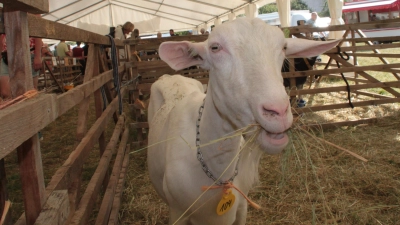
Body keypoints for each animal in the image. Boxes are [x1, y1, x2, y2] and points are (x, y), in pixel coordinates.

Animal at [147, 18, 340, 225]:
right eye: (215, 48)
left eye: (284, 47)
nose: (278, 112)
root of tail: (172, 76)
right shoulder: (178, 213)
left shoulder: (242, 208)